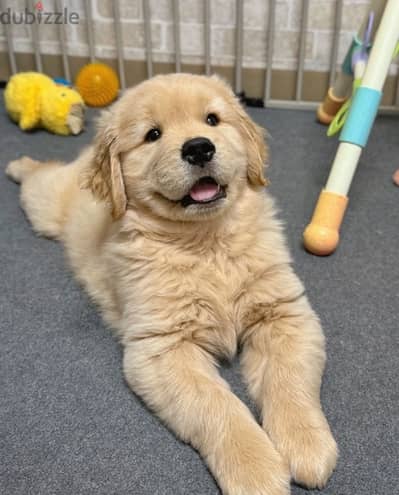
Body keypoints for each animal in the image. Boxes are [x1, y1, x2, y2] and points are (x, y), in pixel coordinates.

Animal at [6, 73, 338, 495]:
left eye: (212, 119)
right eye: (153, 134)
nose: (198, 148)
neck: (206, 242)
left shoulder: (284, 314)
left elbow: (289, 381)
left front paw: (306, 445)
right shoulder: (163, 348)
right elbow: (218, 406)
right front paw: (255, 470)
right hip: (46, 206)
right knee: (41, 174)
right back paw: (18, 163)